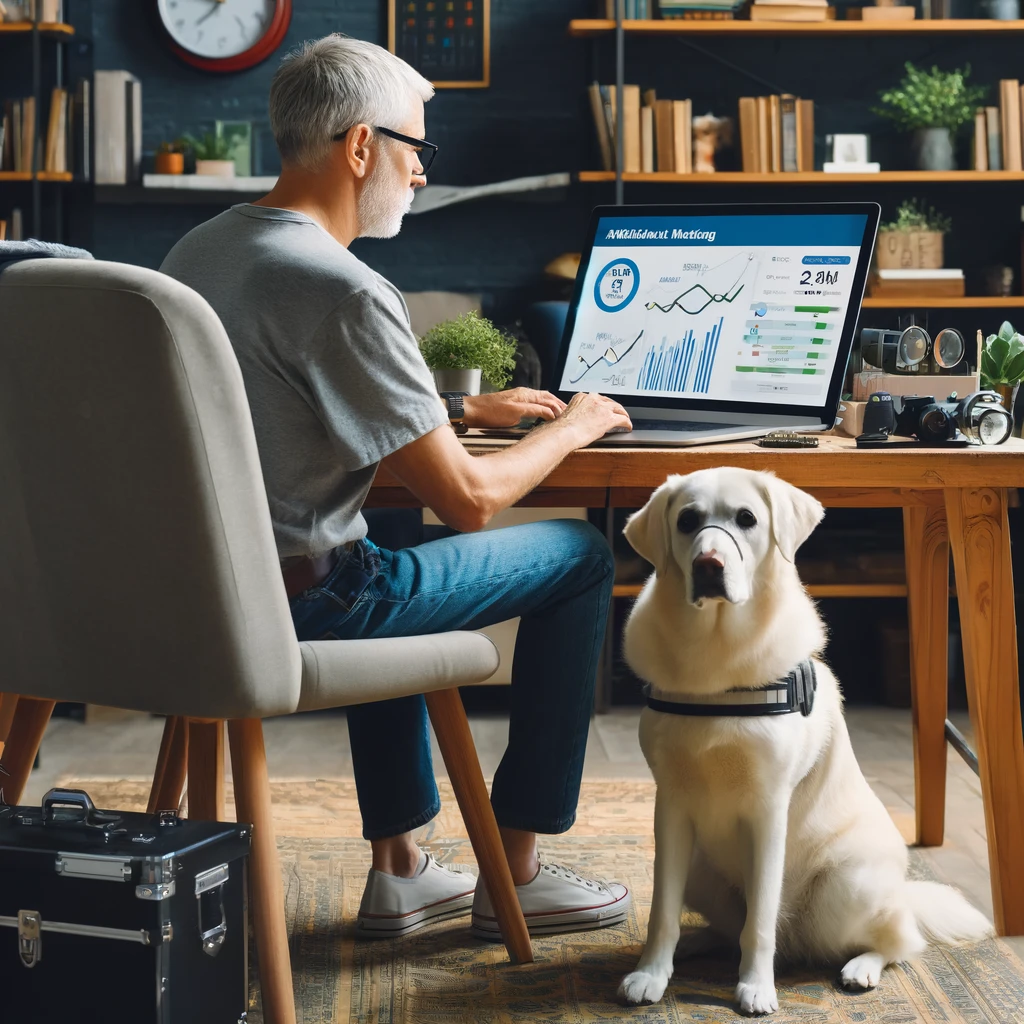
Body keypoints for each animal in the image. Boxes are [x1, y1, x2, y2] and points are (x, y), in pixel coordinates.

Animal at [614, 468, 991, 1015]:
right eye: (687, 521)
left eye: (746, 519)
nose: (708, 565)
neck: (716, 658)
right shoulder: (671, 808)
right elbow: (662, 910)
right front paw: (651, 973)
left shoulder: (768, 812)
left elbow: (760, 922)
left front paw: (756, 986)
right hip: (703, 871)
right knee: (729, 929)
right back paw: (696, 944)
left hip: (847, 886)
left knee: (899, 939)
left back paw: (862, 967)